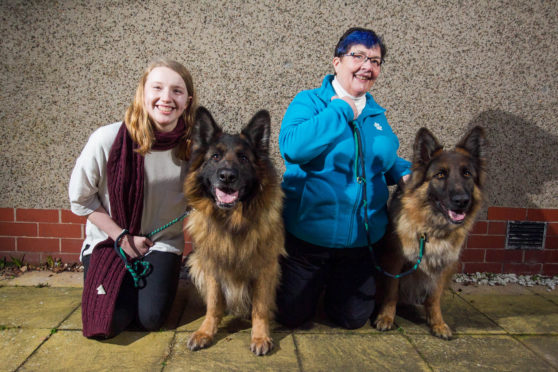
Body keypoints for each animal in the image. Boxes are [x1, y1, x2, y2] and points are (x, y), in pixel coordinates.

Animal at [186, 107, 286, 354]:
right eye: (215, 157)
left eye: (243, 158)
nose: (227, 176)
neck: (232, 221)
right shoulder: (212, 265)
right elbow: (213, 305)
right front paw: (206, 332)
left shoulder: (265, 267)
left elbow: (260, 307)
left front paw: (260, 337)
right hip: (194, 261)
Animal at [374, 125, 488, 340]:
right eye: (440, 175)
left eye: (467, 174)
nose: (462, 201)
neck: (431, 228)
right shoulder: (395, 258)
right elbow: (391, 291)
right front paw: (385, 318)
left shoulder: (443, 263)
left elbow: (434, 297)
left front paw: (437, 324)